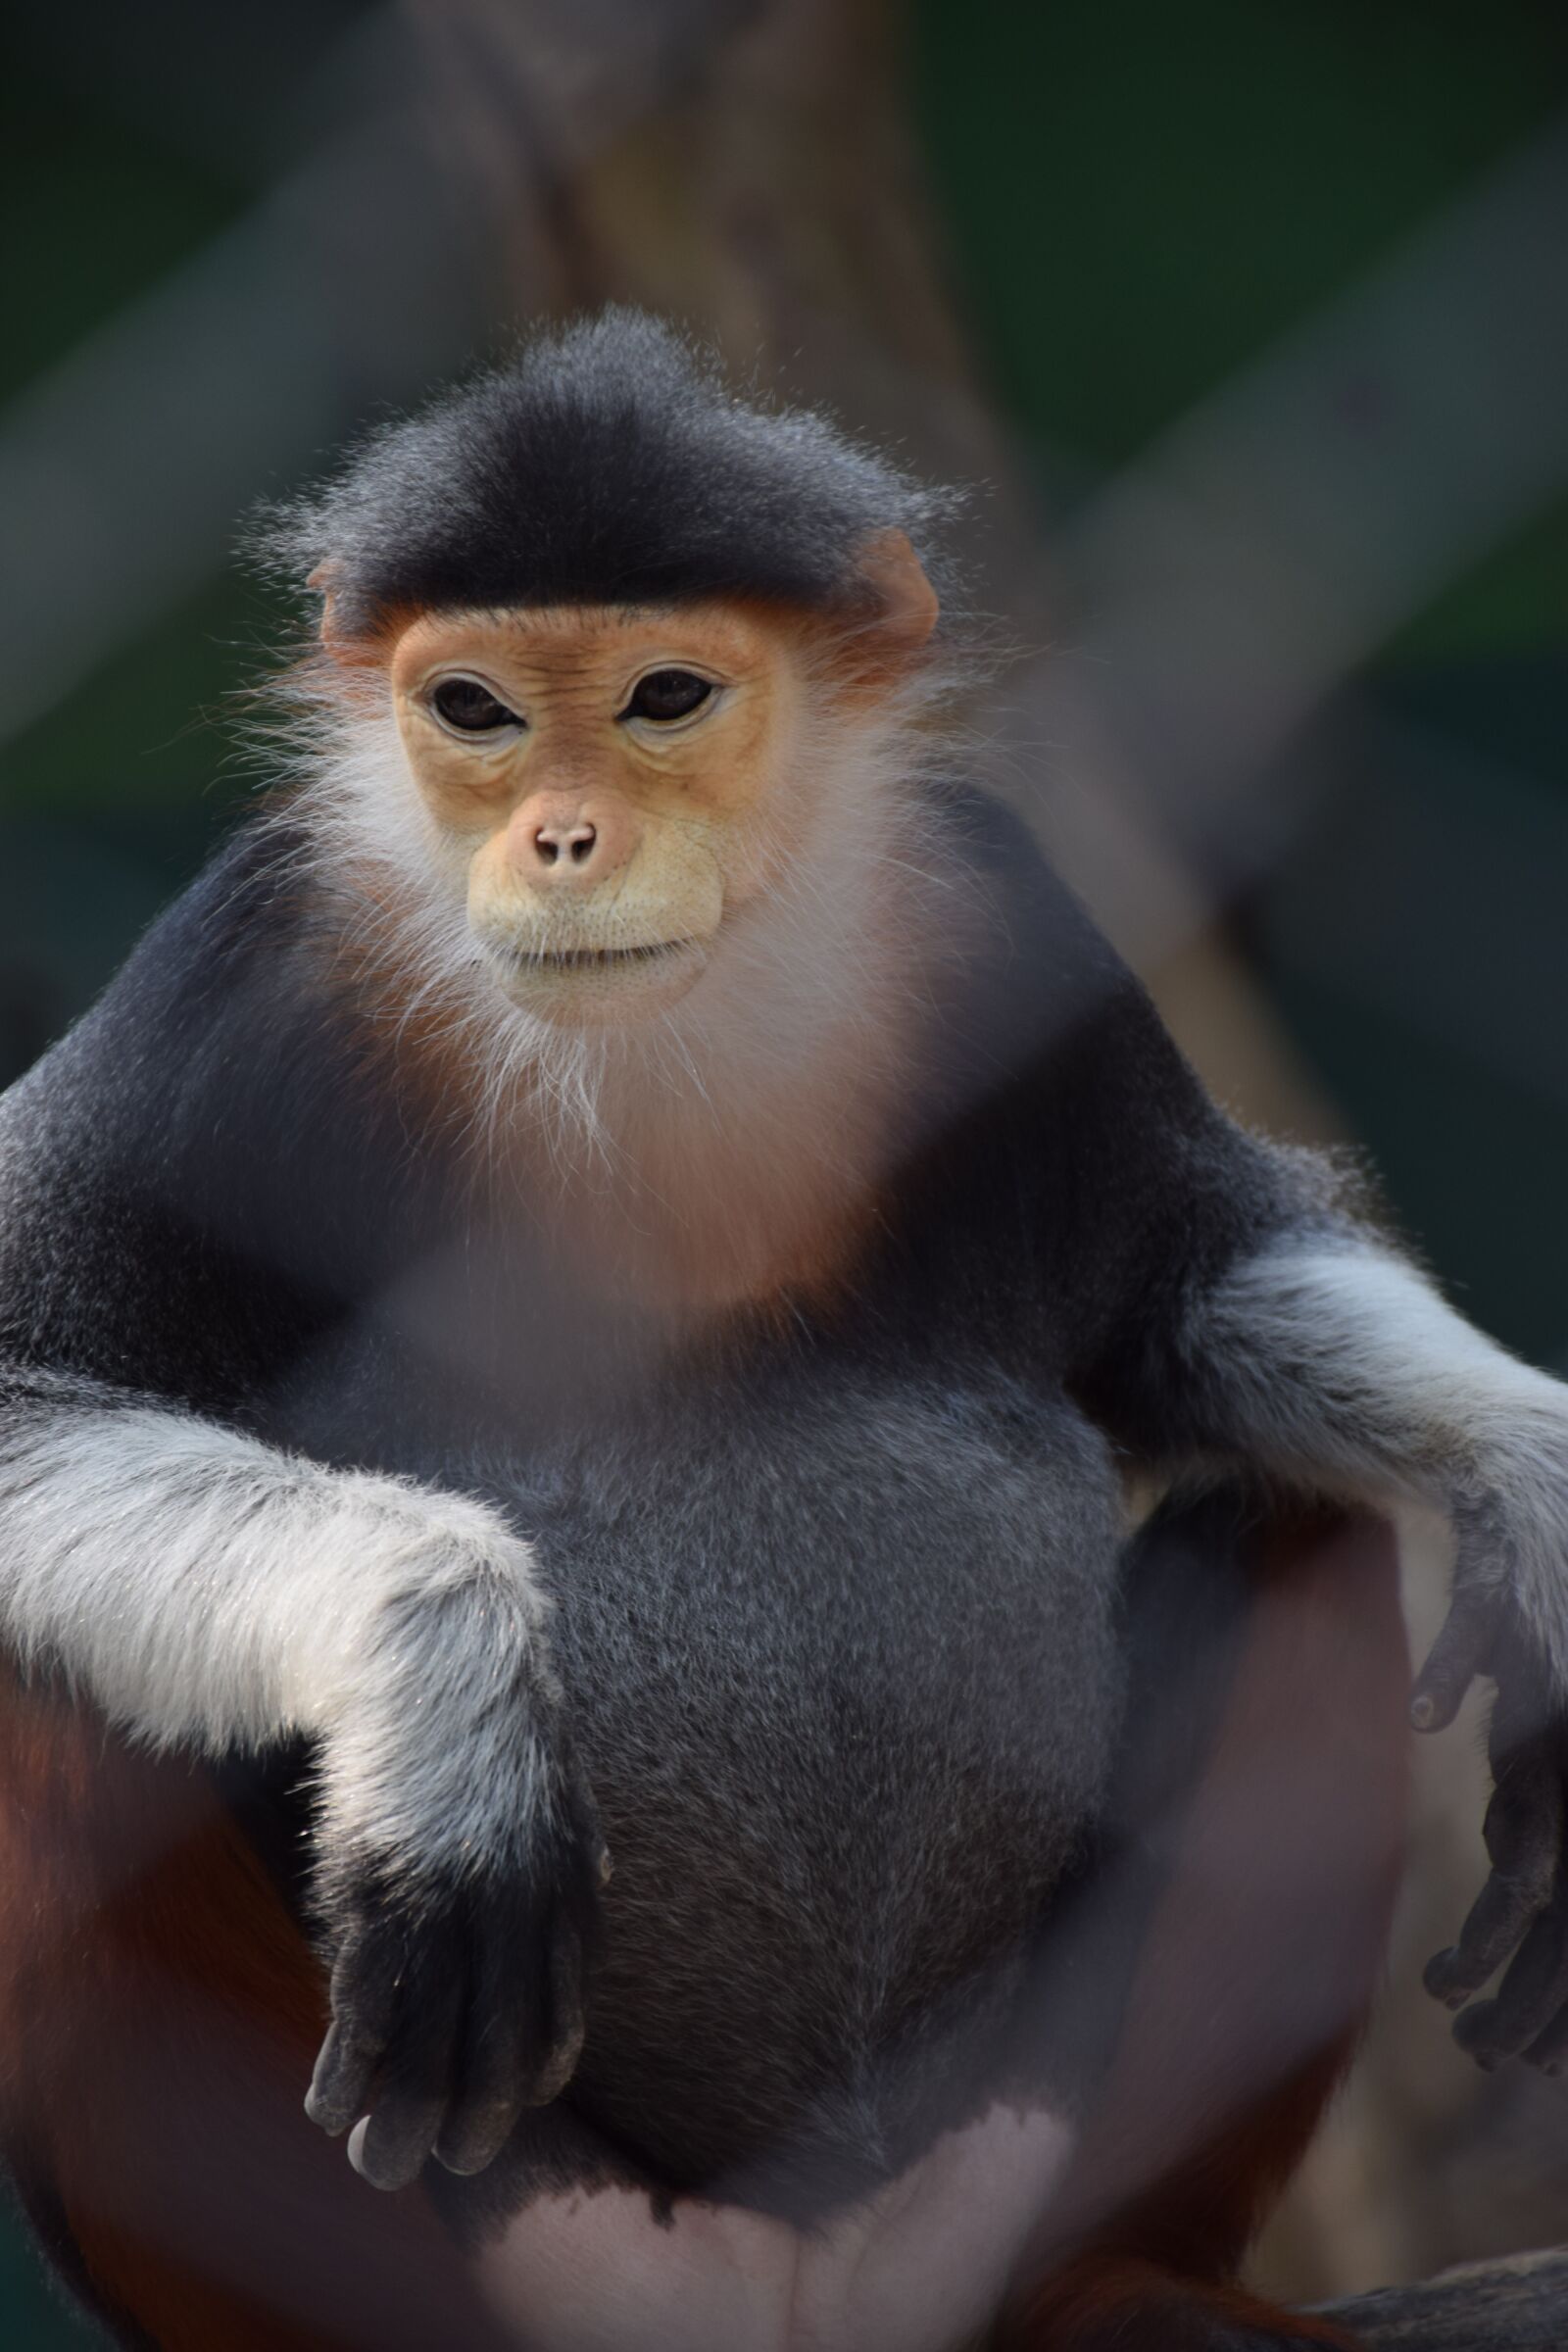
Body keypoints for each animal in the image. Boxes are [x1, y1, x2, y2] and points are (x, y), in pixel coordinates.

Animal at [0, 309, 1563, 2352]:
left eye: (666, 696)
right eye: (475, 713)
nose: (563, 838)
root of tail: (792, 2291)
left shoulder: (994, 908)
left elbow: (1195, 1281)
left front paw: (1532, 1485)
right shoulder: (251, 961)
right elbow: (39, 1388)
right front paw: (450, 1681)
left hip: (990, 2157)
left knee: (1294, 1521)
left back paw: (1124, 2288)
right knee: (56, 1704)